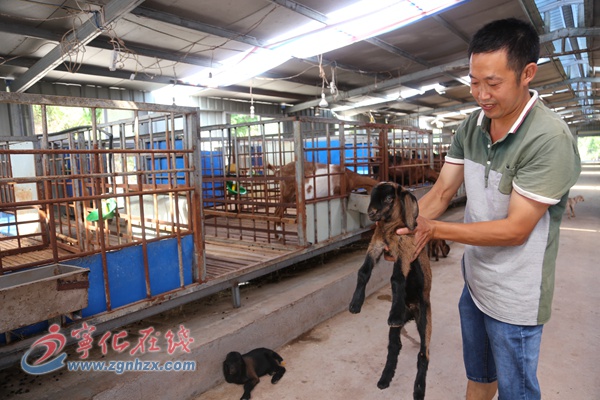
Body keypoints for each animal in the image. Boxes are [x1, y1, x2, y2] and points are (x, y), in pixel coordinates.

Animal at [349, 181, 431, 399]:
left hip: (425, 318)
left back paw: (418, 391)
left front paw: (392, 314)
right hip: (398, 329)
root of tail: (410, 310)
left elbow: (397, 279)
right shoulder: (376, 246)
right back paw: (384, 379)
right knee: (395, 346)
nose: (371, 212)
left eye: (388, 198)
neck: (389, 229)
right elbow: (363, 272)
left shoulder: (405, 251)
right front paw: (355, 304)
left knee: (423, 354)